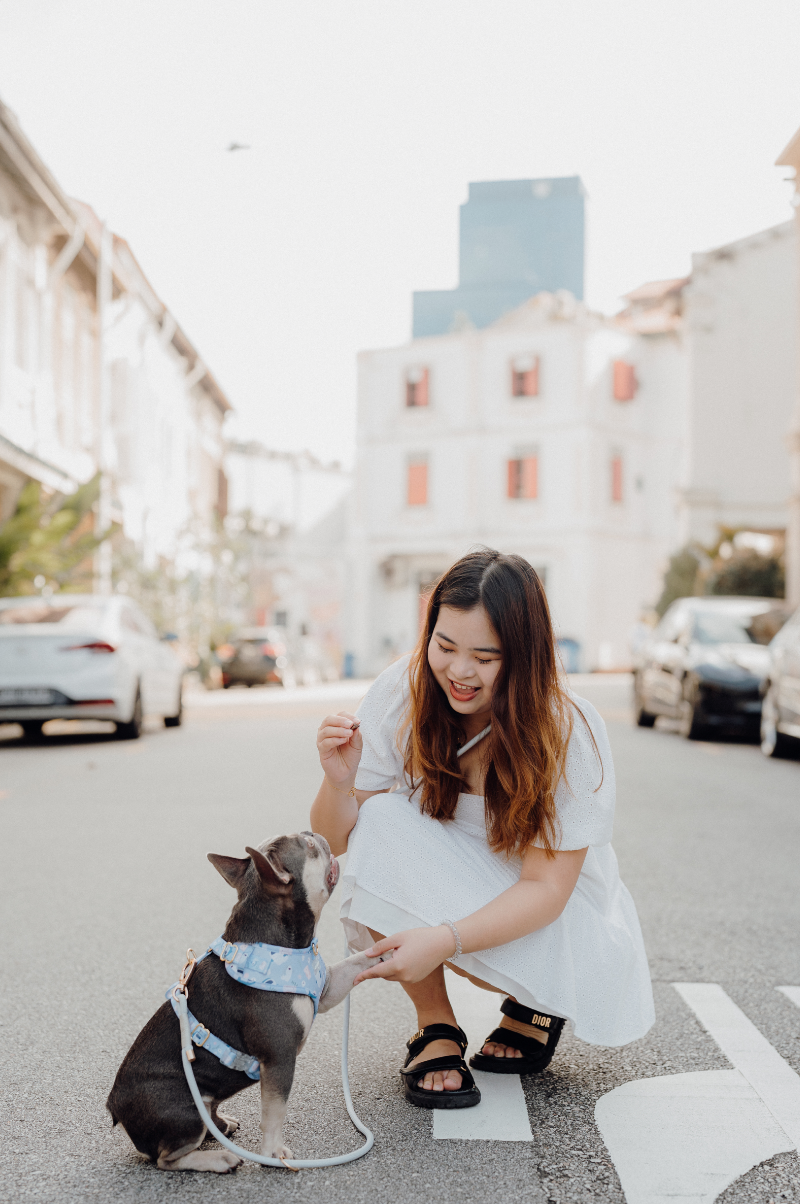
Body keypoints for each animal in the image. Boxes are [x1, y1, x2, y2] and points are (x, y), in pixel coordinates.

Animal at [107, 833, 380, 1170]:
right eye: (308, 846)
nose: (316, 834)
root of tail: (116, 1108)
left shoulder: (328, 987)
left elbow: (357, 962)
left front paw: (393, 949)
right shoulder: (279, 1058)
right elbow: (275, 1111)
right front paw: (273, 1153)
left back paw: (221, 1125)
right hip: (183, 1110)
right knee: (166, 1158)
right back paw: (217, 1158)